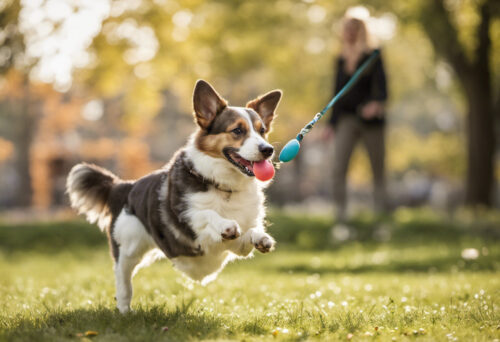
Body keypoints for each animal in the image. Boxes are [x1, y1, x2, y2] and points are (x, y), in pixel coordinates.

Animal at [66, 79, 282, 312]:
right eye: (238, 130)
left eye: (262, 131)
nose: (268, 150)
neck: (224, 186)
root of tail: (124, 186)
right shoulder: (194, 230)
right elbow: (206, 214)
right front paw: (225, 224)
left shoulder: (238, 247)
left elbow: (249, 231)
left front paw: (262, 237)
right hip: (128, 247)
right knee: (123, 282)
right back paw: (125, 312)